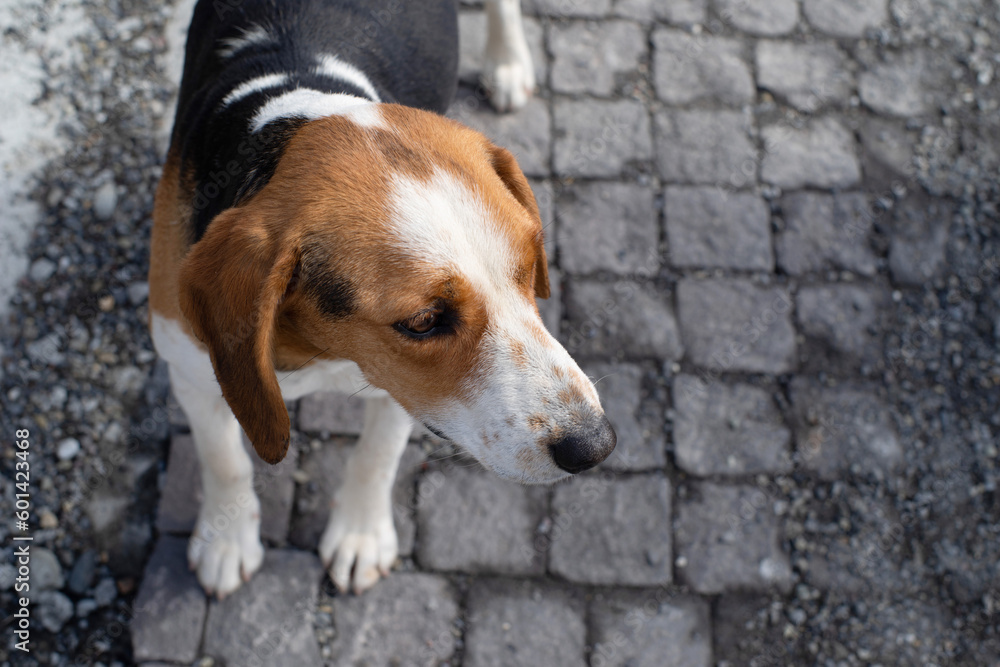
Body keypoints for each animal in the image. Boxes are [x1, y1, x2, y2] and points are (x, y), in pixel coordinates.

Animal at [149, 0, 616, 596]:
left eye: (531, 267)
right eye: (423, 321)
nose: (595, 445)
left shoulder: (406, 390)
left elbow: (375, 458)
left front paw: (360, 535)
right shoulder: (191, 368)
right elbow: (223, 460)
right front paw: (226, 541)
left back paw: (507, 61)